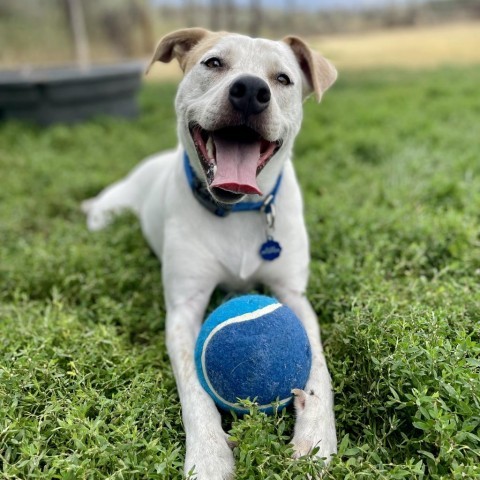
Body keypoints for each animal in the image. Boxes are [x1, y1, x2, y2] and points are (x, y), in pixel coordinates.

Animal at [81, 28, 338, 478]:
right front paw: (209, 456)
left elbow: (319, 368)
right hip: (112, 208)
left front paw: (316, 439)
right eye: (213, 63)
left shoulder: (294, 296)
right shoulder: (184, 310)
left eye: (283, 79)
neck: (236, 212)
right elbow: (195, 391)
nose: (251, 90)